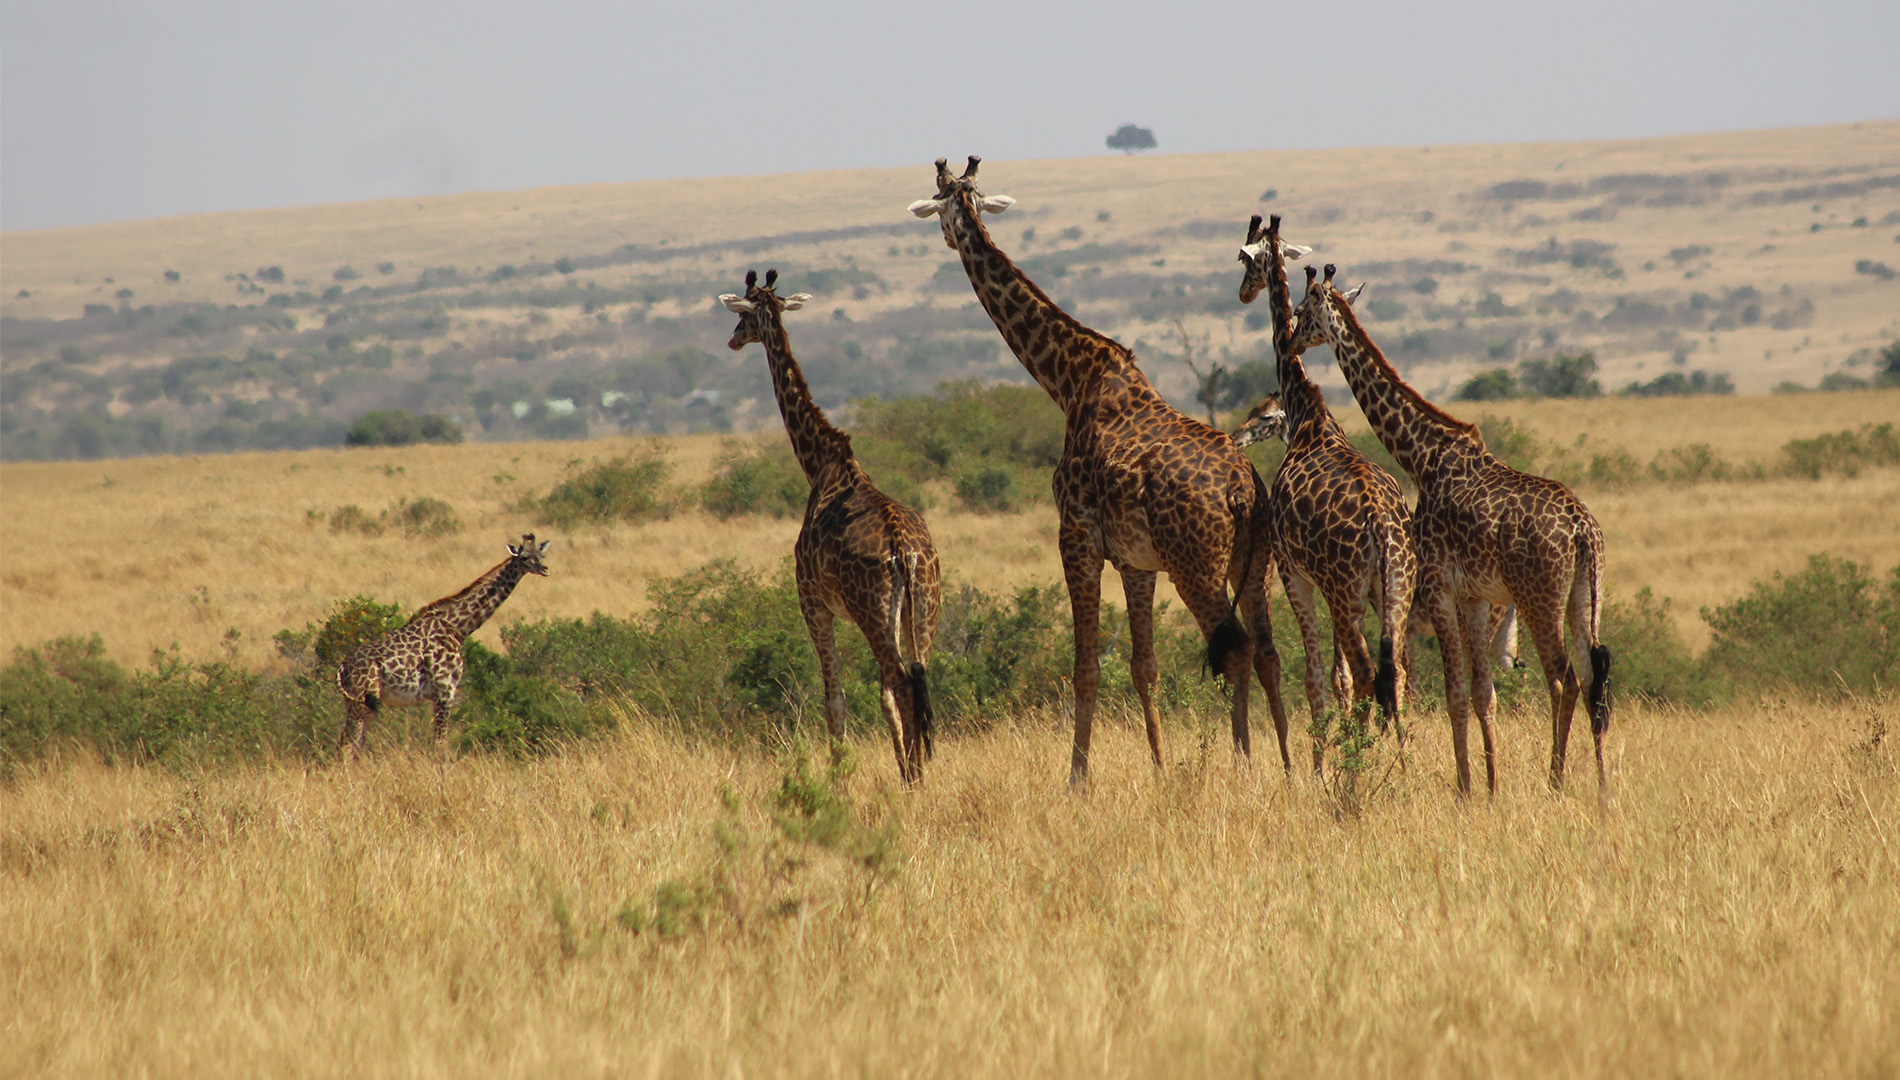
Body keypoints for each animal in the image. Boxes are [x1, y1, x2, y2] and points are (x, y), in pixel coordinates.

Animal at [336, 534, 550, 760]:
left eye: (541, 554)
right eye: (525, 557)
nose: (545, 569)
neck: (457, 627)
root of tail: (342, 667)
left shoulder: (439, 695)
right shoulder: (445, 690)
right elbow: (441, 746)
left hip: (362, 704)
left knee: (351, 744)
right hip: (359, 702)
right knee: (347, 746)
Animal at [721, 269, 942, 785]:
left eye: (743, 315)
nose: (732, 340)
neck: (820, 462)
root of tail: (905, 551)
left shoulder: (812, 600)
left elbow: (834, 698)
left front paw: (837, 780)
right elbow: (874, 697)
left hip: (872, 611)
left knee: (901, 682)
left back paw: (912, 778)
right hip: (924, 606)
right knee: (918, 679)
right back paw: (920, 771)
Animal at [910, 157, 1290, 783]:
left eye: (939, 202)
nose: (942, 237)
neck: (1068, 381)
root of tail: (1242, 489)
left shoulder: (1077, 538)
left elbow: (1086, 665)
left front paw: (1077, 780)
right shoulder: (1136, 562)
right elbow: (1143, 665)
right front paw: (1159, 769)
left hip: (1196, 565)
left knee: (1233, 646)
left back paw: (1242, 763)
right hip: (1252, 563)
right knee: (1267, 649)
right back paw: (1287, 762)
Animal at [1234, 214, 1415, 772]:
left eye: (1245, 258)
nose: (1243, 292)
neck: (1307, 414)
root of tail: (1381, 523)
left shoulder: (1293, 574)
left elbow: (1318, 677)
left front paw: (1318, 767)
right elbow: (1342, 679)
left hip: (1343, 589)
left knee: (1366, 674)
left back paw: (1356, 772)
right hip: (1393, 590)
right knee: (1396, 673)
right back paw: (1407, 764)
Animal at [1295, 264, 1612, 797]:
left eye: (1301, 312)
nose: (1294, 342)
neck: (1422, 456)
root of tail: (1582, 529)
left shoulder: (1442, 585)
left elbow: (1454, 692)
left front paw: (1466, 789)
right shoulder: (1474, 595)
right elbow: (1481, 692)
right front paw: (1490, 785)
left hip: (1539, 597)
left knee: (1562, 679)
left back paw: (1555, 779)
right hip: (1584, 595)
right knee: (1593, 677)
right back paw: (1605, 784)